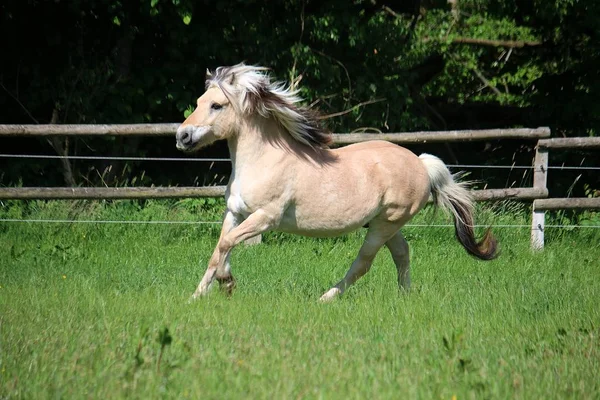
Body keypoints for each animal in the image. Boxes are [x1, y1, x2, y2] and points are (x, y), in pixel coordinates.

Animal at [176, 63, 500, 300]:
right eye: (199, 102)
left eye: (217, 106)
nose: (182, 136)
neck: (264, 160)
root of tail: (421, 163)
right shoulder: (236, 212)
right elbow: (219, 249)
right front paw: (199, 296)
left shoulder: (265, 217)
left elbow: (227, 243)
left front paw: (226, 283)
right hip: (386, 224)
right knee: (402, 254)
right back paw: (405, 297)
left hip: (385, 224)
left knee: (363, 263)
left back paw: (326, 298)